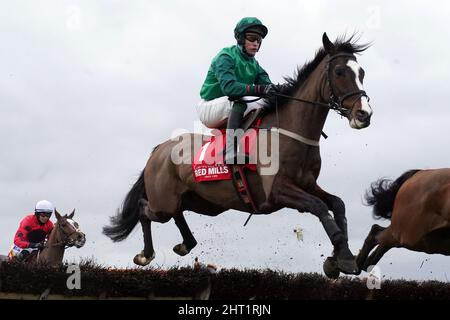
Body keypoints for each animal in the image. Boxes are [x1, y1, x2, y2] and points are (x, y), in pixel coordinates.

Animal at [104, 33, 372, 278]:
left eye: (362, 72)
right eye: (339, 71)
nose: (364, 114)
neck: (289, 131)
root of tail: (158, 149)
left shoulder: (307, 184)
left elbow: (337, 204)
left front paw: (340, 256)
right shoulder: (278, 191)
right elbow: (319, 207)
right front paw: (342, 256)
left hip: (198, 201)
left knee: (177, 213)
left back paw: (185, 244)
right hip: (163, 203)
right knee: (144, 209)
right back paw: (145, 254)